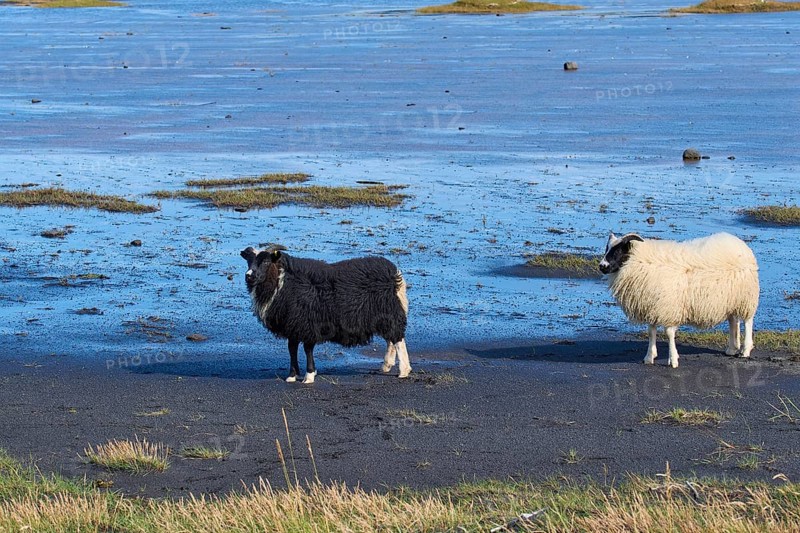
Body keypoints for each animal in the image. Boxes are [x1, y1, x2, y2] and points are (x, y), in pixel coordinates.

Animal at [240, 245, 411, 383]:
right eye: (249, 261)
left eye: (266, 262)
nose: (249, 276)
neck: (281, 283)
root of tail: (395, 273)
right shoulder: (293, 325)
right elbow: (292, 349)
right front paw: (292, 376)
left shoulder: (307, 324)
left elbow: (307, 349)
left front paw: (309, 376)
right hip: (384, 317)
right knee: (390, 341)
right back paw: (386, 366)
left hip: (390, 312)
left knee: (398, 339)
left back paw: (404, 371)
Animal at [598, 232, 759, 368]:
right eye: (607, 249)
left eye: (618, 251)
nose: (602, 266)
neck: (640, 261)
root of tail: (739, 243)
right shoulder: (653, 306)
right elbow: (651, 331)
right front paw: (649, 357)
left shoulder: (669, 308)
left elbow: (669, 333)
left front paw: (673, 360)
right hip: (731, 299)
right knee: (733, 321)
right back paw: (732, 348)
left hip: (747, 298)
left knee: (747, 321)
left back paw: (745, 350)